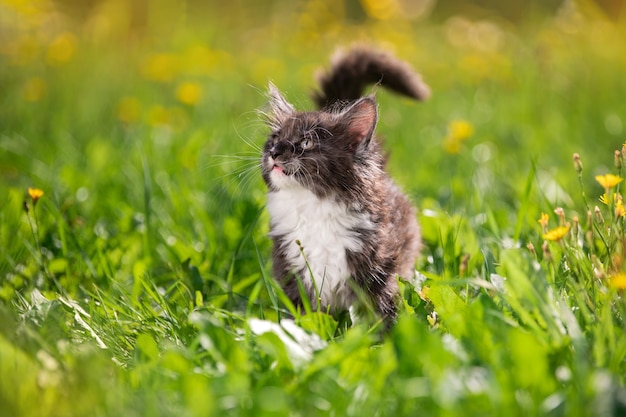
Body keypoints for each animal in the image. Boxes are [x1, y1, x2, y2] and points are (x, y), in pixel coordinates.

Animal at [258, 46, 428, 324]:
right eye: (274, 139)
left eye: (305, 143)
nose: (274, 152)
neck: (314, 207)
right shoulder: (291, 270)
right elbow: (301, 318)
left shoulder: (380, 272)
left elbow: (384, 316)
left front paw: (387, 335)